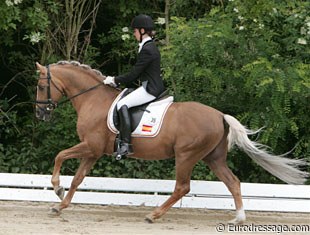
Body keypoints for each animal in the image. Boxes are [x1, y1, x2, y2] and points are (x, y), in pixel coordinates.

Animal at [35, 60, 308, 224]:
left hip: (186, 155)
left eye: (39, 86)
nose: (40, 113)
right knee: (233, 182)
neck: (93, 100)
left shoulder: (91, 147)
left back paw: (153, 215)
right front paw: (60, 204)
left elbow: (59, 155)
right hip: (213, 158)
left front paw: (57, 188)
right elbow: (78, 178)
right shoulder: (93, 152)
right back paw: (238, 219)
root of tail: (220, 115)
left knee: (182, 187)